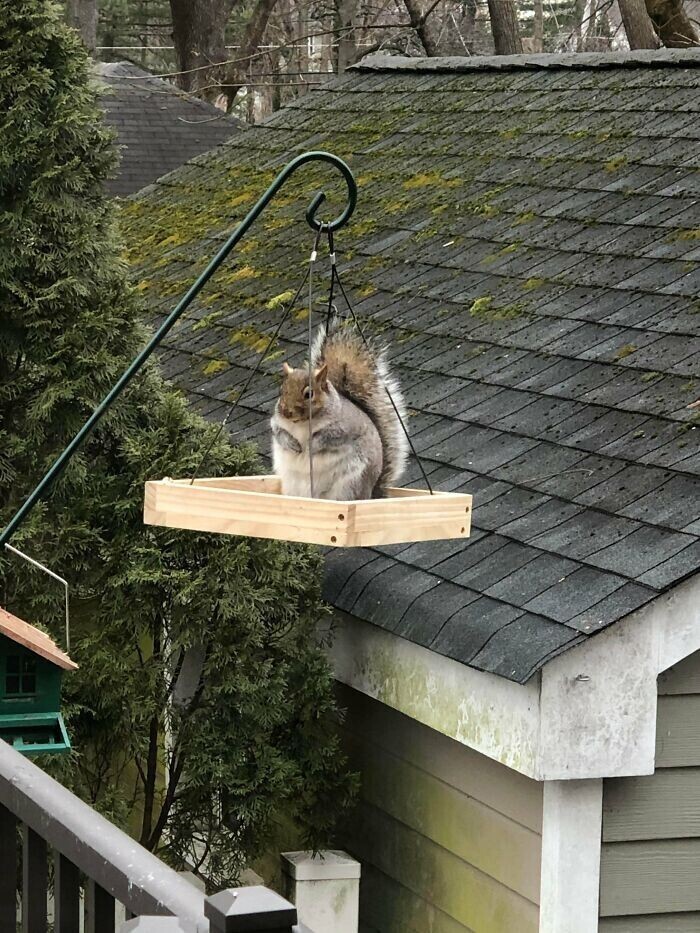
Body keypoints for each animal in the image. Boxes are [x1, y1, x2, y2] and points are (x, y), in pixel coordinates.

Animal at [270, 326, 410, 502]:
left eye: (309, 394)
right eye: (281, 390)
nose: (286, 412)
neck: (302, 423)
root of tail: (371, 495)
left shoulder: (343, 427)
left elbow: (328, 437)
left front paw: (310, 446)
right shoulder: (277, 423)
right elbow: (279, 433)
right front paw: (292, 444)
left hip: (350, 484)